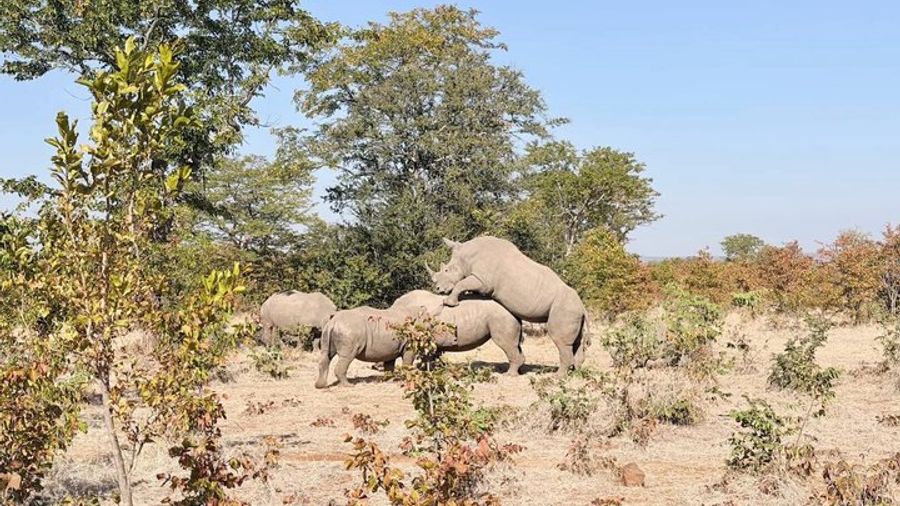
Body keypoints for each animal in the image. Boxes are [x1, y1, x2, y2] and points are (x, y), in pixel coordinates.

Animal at [391, 290, 525, 375]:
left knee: (506, 344)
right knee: (516, 345)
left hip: (501, 316)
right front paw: (428, 370)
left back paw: (509, 374)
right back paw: (520, 371)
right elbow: (429, 356)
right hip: (506, 316)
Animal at [430, 236, 589, 374]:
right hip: (573, 309)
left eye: (446, 270)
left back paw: (557, 376)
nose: (438, 289)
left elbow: (462, 283)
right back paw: (575, 373)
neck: (466, 254)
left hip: (565, 307)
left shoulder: (482, 280)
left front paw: (448, 302)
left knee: (560, 340)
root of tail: (583, 307)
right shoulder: (482, 281)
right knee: (577, 341)